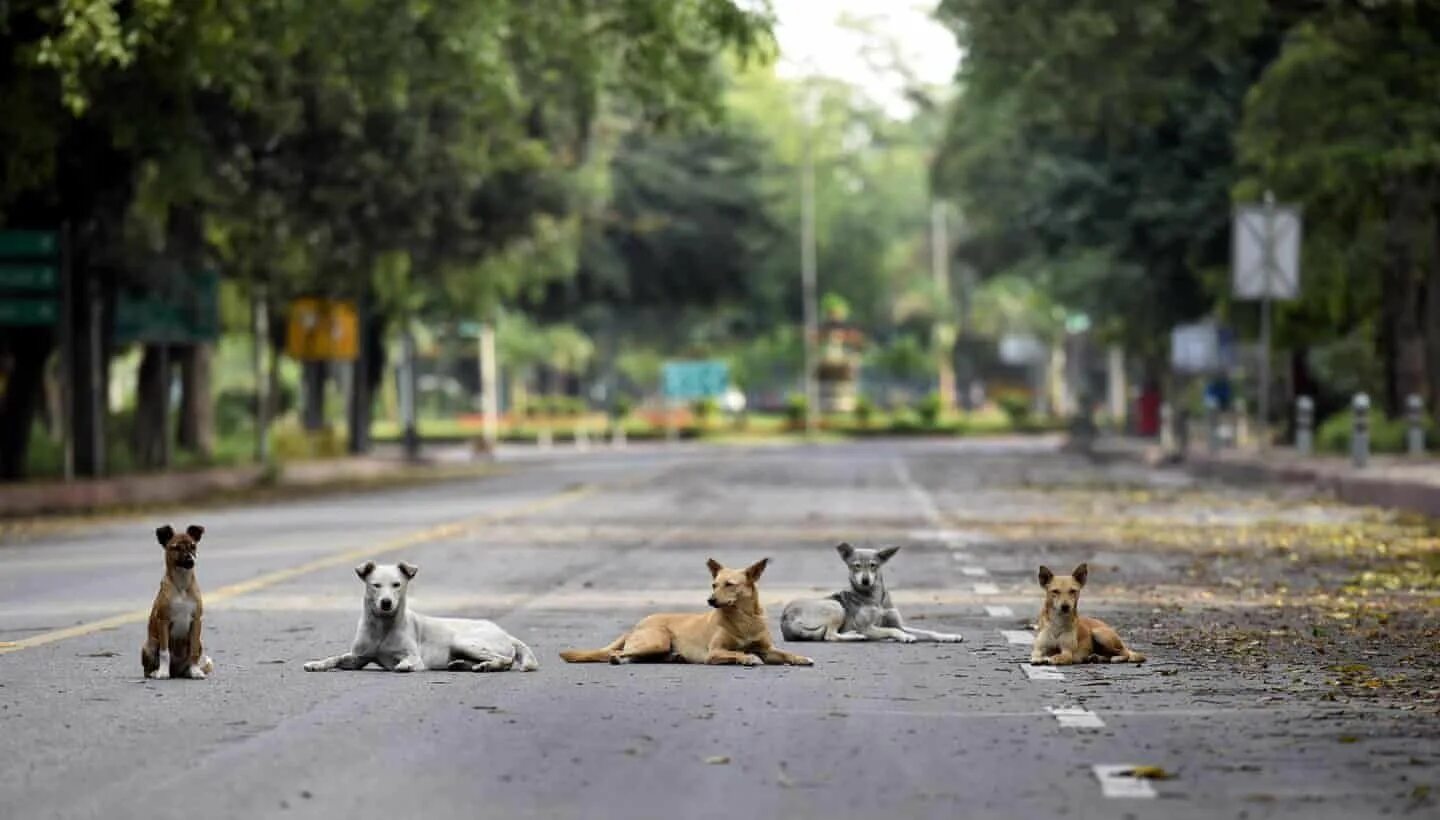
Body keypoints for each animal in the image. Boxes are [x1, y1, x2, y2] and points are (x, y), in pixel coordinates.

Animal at [141, 524, 214, 677]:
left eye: (193, 546)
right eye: (176, 548)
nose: (190, 560)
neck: (182, 584)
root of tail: (175, 671)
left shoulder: (196, 621)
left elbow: (193, 652)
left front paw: (195, 671)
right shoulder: (163, 621)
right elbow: (164, 652)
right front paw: (163, 672)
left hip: (200, 643)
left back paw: (189, 671)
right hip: (149, 645)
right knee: (147, 669)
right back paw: (155, 672)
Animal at [300, 562, 538, 671]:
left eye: (397, 584)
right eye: (375, 585)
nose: (386, 603)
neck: (382, 627)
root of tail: (505, 633)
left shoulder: (415, 657)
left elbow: (409, 660)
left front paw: (403, 665)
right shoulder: (358, 658)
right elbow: (335, 658)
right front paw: (317, 664)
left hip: (463, 641)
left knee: (506, 660)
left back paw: (486, 666)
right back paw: (462, 664)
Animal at [558, 556, 817, 665]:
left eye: (729, 584)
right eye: (713, 584)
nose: (710, 600)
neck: (744, 618)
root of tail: (638, 624)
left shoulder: (768, 650)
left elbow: (784, 653)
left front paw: (800, 657)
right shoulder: (715, 653)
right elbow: (737, 653)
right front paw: (747, 657)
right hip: (657, 641)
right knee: (616, 653)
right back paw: (615, 658)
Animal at [783, 538, 961, 642]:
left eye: (873, 565)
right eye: (856, 566)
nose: (865, 580)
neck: (876, 600)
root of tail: (785, 619)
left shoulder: (898, 623)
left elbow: (928, 631)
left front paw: (949, 636)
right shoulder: (868, 627)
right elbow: (891, 630)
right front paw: (905, 636)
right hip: (836, 607)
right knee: (830, 636)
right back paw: (856, 636)